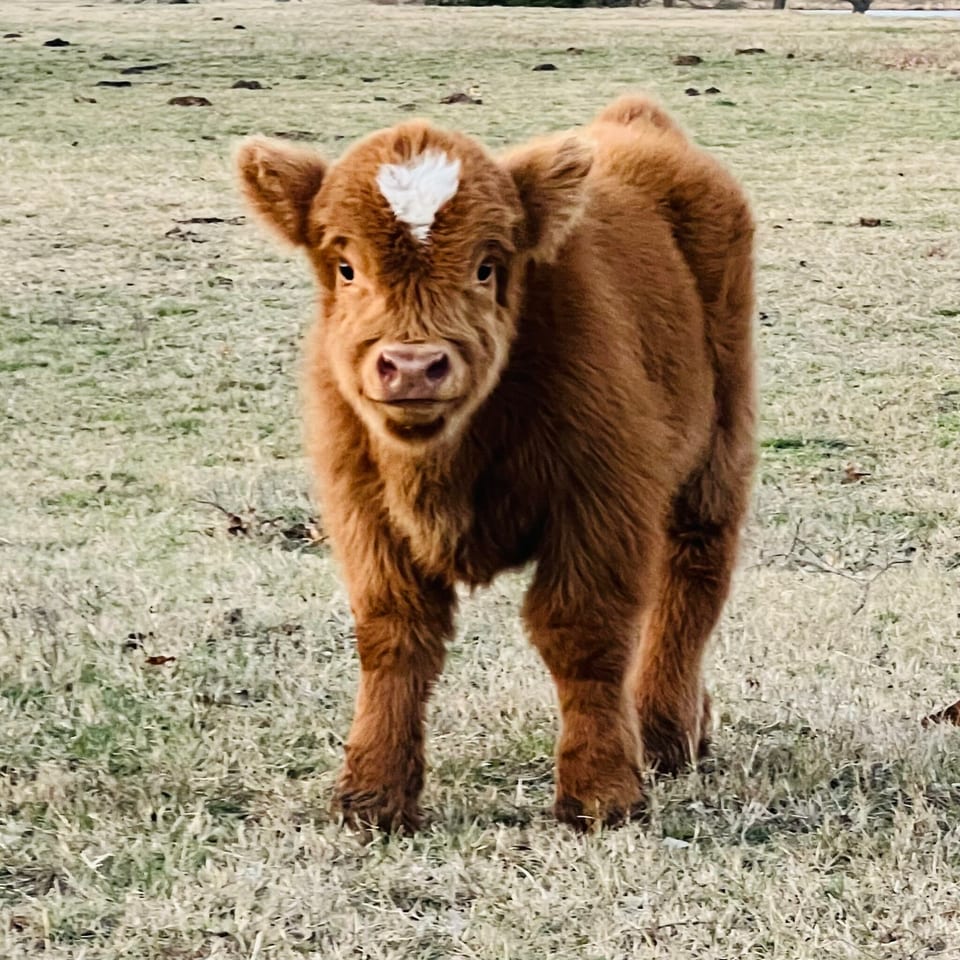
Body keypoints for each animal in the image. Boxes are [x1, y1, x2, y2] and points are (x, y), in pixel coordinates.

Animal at [236, 94, 756, 832]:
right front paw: (373, 795)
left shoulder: (601, 498)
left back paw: (664, 733)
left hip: (717, 452)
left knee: (693, 576)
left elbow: (583, 632)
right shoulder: (362, 509)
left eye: (487, 265)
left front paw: (601, 793)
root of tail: (634, 121)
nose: (414, 365)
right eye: (346, 266)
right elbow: (393, 634)